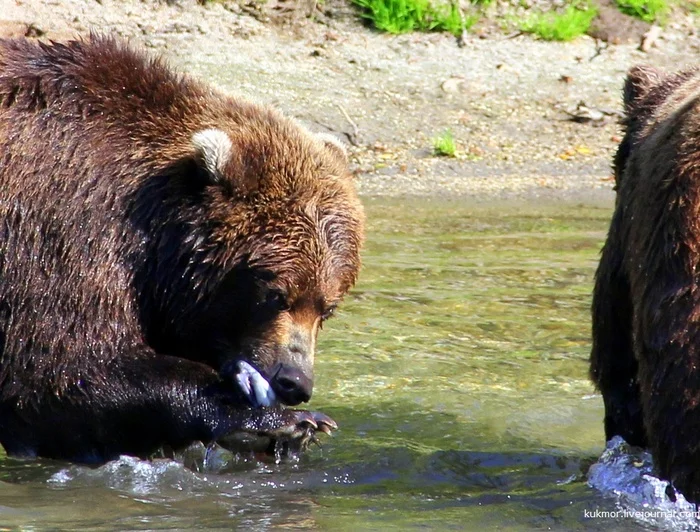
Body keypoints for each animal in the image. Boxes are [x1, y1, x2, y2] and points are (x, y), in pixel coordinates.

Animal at [0, 35, 364, 464]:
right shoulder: (60, 226)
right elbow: (63, 368)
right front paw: (284, 423)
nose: (295, 381)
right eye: (276, 294)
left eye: (327, 307)